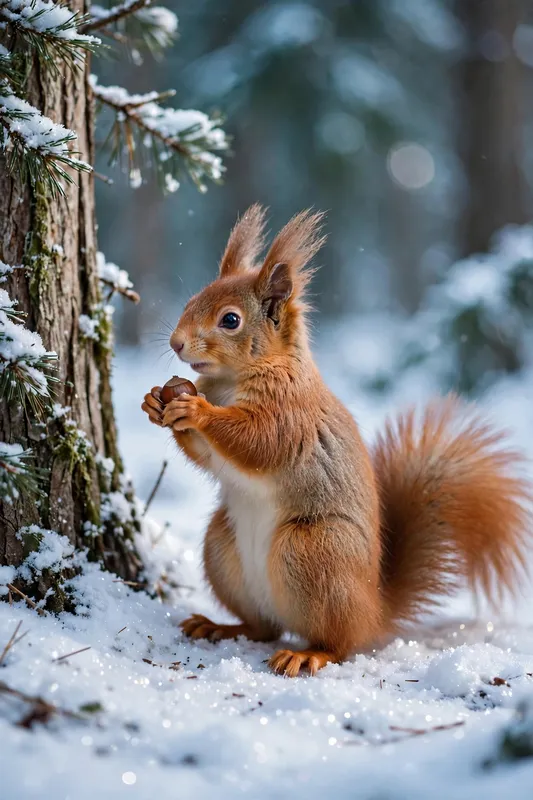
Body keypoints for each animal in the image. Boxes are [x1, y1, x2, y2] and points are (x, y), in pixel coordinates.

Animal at [141, 205, 531, 677]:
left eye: (230, 320)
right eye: (192, 300)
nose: (176, 342)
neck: (232, 380)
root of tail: (374, 611)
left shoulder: (291, 415)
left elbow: (257, 442)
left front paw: (197, 411)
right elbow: (208, 456)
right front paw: (156, 403)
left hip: (312, 549)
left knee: (339, 643)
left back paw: (308, 653)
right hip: (222, 547)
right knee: (263, 627)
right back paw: (220, 626)